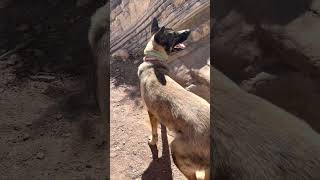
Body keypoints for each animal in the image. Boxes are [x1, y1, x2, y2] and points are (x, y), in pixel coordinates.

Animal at [138, 17, 210, 179]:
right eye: (173, 34)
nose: (188, 30)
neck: (153, 62)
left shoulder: (150, 111)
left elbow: (154, 131)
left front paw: (153, 141)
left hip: (177, 150)